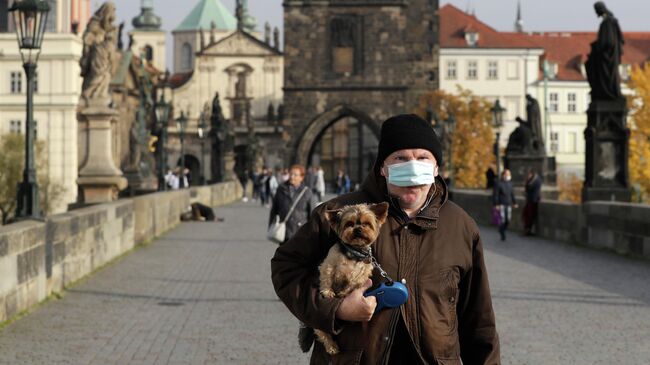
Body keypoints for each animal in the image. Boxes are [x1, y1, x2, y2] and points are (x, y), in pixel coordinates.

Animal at [300, 200, 388, 354]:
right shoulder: (328, 264)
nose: (357, 229)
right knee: (322, 331)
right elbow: (326, 278)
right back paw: (331, 346)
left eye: (366, 223)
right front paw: (328, 292)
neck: (354, 253)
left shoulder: (363, 274)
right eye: (349, 223)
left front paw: (343, 293)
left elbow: (354, 284)